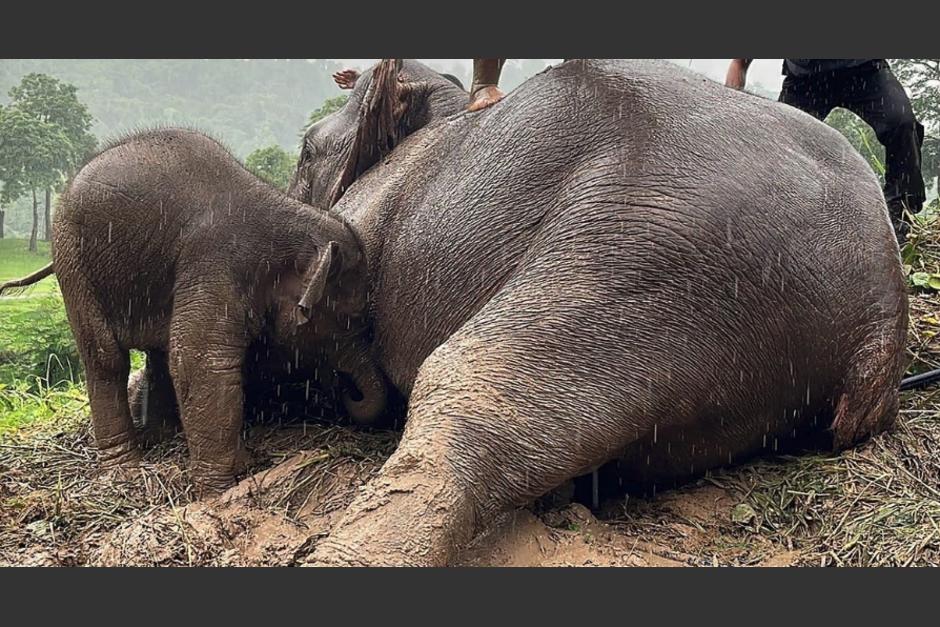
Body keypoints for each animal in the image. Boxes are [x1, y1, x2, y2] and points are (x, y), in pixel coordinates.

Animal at [40, 128, 385, 491]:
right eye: (351, 319)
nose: (348, 391)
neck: (284, 213)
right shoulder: (216, 263)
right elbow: (201, 361)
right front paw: (219, 487)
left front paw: (241, 463)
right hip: (72, 260)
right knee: (106, 358)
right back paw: (125, 469)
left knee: (158, 355)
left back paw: (161, 437)